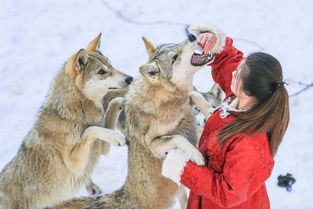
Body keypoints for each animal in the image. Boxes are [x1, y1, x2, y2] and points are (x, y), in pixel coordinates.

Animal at [0, 33, 132, 208]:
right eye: (102, 72)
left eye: (111, 65)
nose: (130, 78)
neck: (74, 114)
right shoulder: (75, 164)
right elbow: (91, 130)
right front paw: (115, 135)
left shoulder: (103, 148)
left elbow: (110, 107)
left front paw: (125, 99)